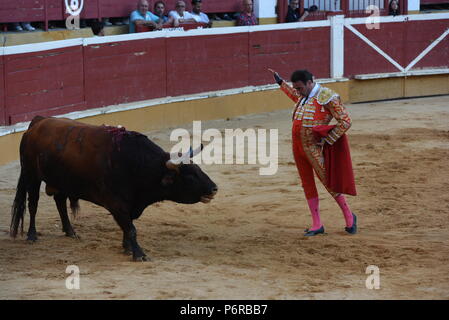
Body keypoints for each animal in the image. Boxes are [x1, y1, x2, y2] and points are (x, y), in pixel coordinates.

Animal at [8, 116, 215, 262]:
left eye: (199, 169)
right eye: (189, 176)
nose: (214, 188)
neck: (136, 164)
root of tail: (37, 123)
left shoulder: (130, 204)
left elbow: (128, 226)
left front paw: (127, 248)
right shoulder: (117, 204)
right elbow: (131, 228)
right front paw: (139, 254)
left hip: (62, 181)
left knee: (60, 202)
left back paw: (70, 231)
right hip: (31, 175)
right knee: (33, 204)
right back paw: (32, 235)